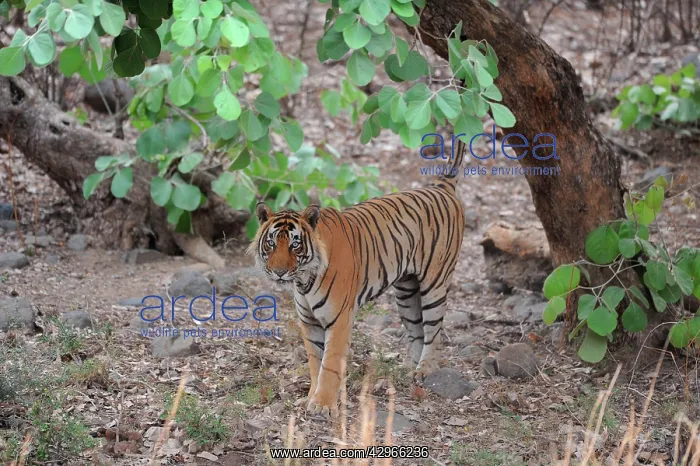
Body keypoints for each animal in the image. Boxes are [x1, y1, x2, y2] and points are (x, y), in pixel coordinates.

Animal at [248, 139, 467, 417]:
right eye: (271, 243)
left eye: (295, 245)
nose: (278, 272)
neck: (304, 280)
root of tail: (441, 187)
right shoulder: (309, 321)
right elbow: (315, 361)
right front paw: (310, 397)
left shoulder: (339, 318)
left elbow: (329, 363)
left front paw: (323, 405)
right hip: (406, 291)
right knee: (416, 330)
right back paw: (408, 368)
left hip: (435, 282)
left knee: (434, 330)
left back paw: (425, 370)